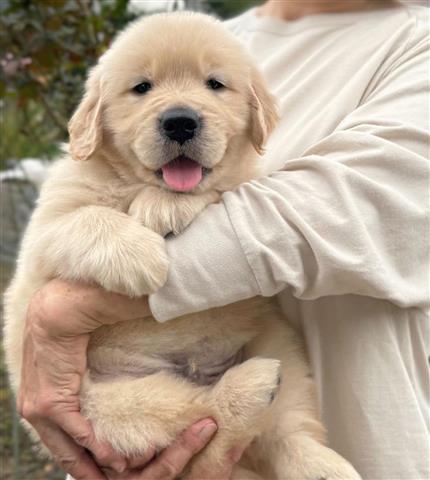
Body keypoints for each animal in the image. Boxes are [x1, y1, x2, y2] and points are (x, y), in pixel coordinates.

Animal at [3, 11, 362, 480]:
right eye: (142, 87)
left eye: (214, 83)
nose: (179, 121)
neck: (135, 183)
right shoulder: (44, 233)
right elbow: (87, 219)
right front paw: (140, 255)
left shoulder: (248, 185)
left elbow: (222, 187)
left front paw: (165, 207)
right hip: (109, 408)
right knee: (202, 414)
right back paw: (249, 388)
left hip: (281, 347)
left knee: (282, 432)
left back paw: (319, 463)